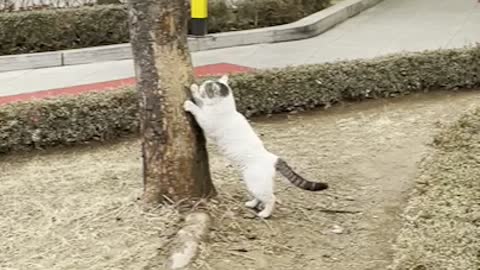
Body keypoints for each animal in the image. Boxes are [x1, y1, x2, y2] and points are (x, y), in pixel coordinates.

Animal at [182, 75, 328, 218]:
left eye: (206, 86)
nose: (201, 84)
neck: (226, 108)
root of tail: (273, 158)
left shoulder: (207, 121)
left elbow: (198, 109)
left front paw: (191, 99)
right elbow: (200, 102)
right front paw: (194, 89)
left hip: (257, 184)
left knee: (271, 199)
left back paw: (265, 213)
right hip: (252, 183)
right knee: (259, 197)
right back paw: (252, 204)